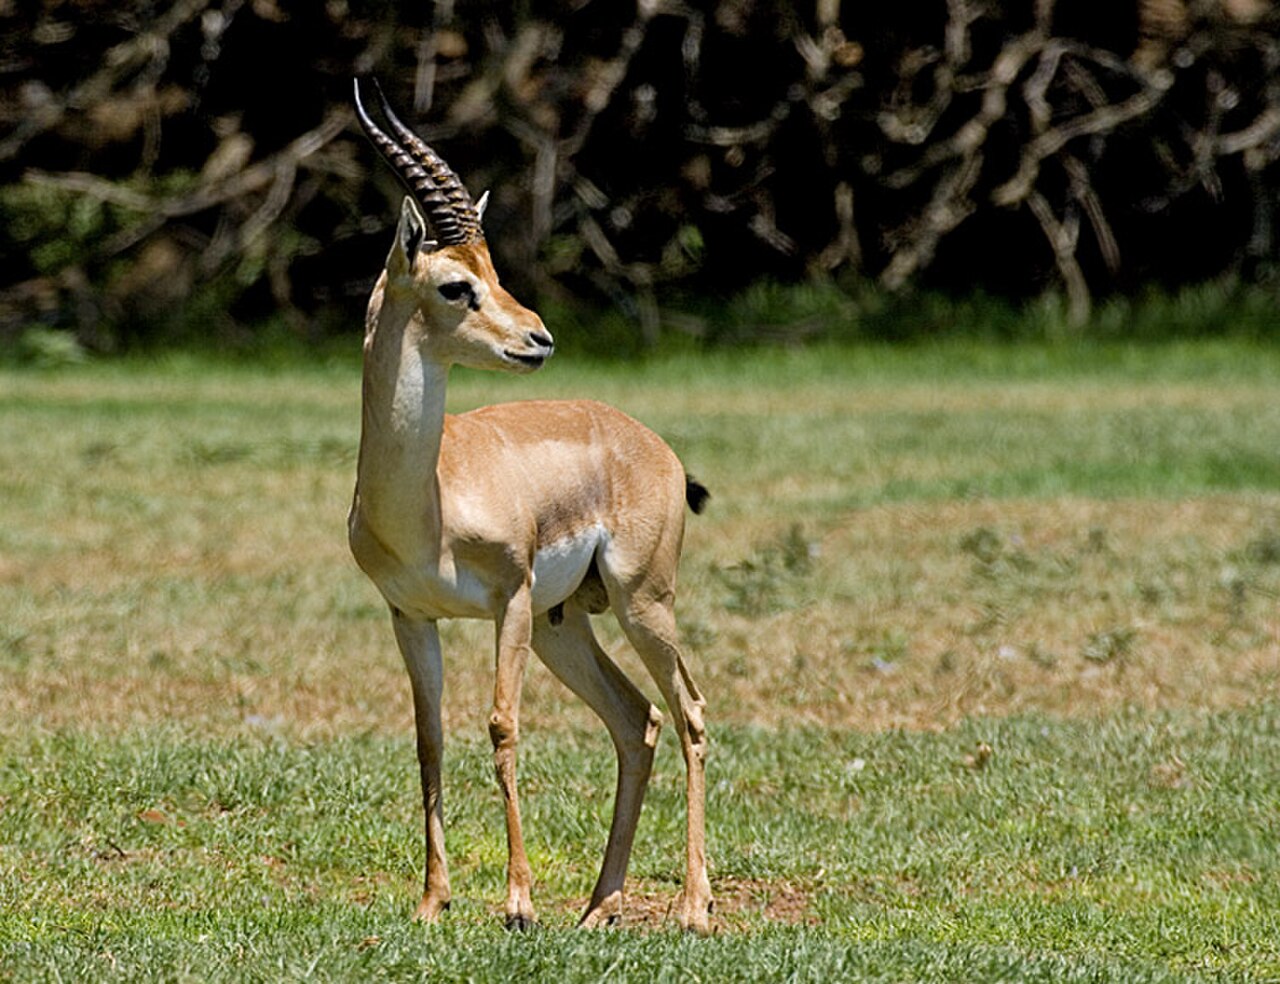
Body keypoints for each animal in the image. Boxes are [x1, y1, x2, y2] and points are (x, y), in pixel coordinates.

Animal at [347, 79, 713, 933]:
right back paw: (599, 908)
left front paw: (517, 904)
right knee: (637, 720)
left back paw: (693, 909)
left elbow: (503, 728)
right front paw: (432, 901)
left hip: (641, 603)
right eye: (458, 284)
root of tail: (649, 442)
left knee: (688, 712)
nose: (538, 338)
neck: (430, 501)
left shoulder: (509, 599)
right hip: (565, 624)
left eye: (495, 268)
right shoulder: (409, 616)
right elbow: (430, 739)